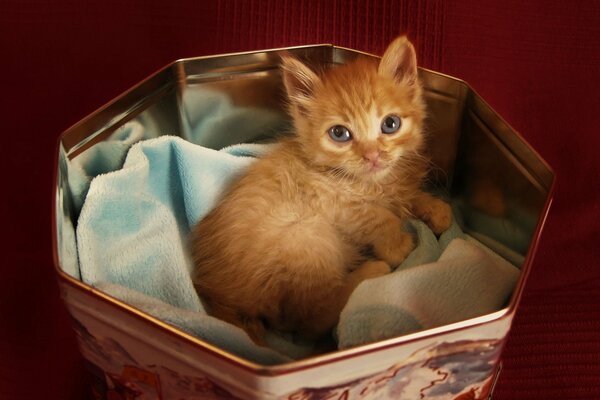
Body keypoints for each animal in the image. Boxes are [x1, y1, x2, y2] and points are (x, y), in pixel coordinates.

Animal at [192, 36, 450, 344]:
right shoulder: (331, 200)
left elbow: (407, 195)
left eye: (390, 124)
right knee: (307, 319)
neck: (370, 182)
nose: (372, 156)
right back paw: (371, 271)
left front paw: (436, 210)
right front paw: (396, 244)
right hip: (310, 235)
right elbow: (378, 217)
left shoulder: (395, 185)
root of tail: (219, 296)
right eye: (339, 134)